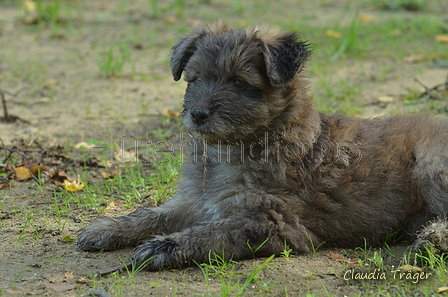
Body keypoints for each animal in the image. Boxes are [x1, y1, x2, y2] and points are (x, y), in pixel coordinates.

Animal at [78, 22, 448, 270]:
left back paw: (434, 239)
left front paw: (164, 247)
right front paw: (108, 229)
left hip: (430, 164)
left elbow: (213, 232)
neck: (234, 149)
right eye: (195, 79)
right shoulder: (195, 201)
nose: (198, 115)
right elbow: (152, 214)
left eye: (240, 83)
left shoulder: (276, 222)